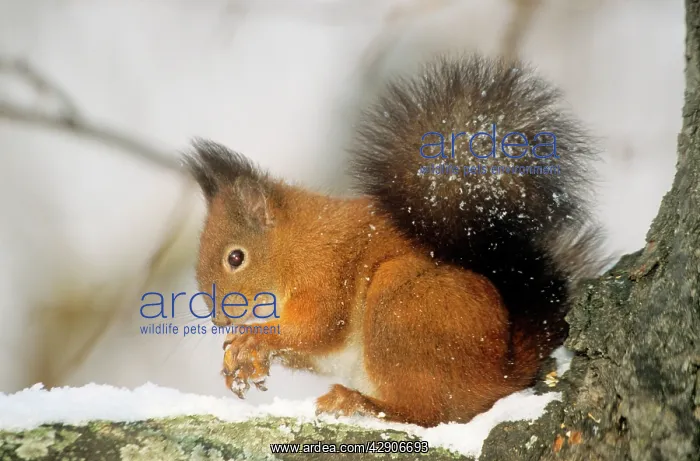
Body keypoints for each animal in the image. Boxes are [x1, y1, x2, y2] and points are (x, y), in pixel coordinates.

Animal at [184, 54, 603, 427]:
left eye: (235, 258)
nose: (219, 318)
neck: (292, 246)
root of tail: (500, 373)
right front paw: (240, 357)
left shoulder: (324, 272)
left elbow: (317, 326)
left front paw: (252, 339)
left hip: (401, 307)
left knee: (428, 413)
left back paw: (359, 403)